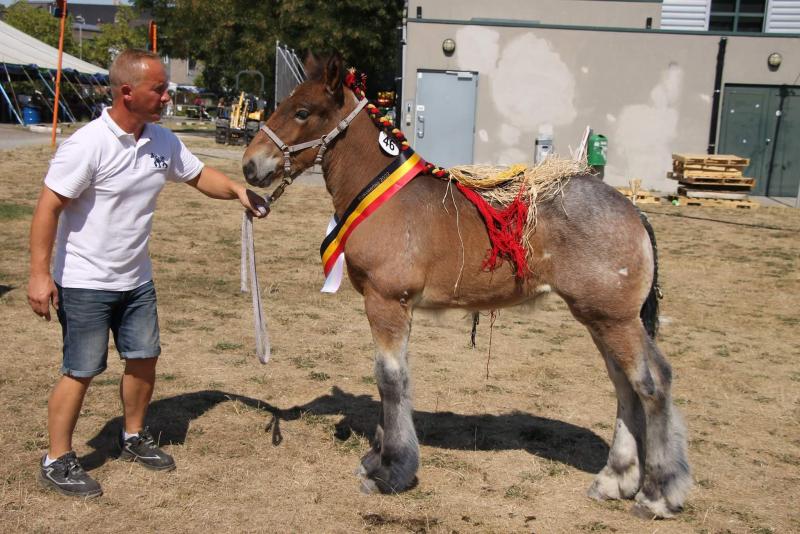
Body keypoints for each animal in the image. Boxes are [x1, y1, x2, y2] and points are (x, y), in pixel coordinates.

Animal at [241, 53, 692, 520]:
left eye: (302, 112)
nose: (250, 165)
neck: (383, 197)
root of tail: (635, 212)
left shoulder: (387, 302)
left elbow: (389, 378)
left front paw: (390, 470)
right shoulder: (393, 307)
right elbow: (390, 378)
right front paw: (376, 459)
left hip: (615, 319)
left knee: (652, 383)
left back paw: (657, 494)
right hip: (599, 318)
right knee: (625, 384)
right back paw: (615, 479)